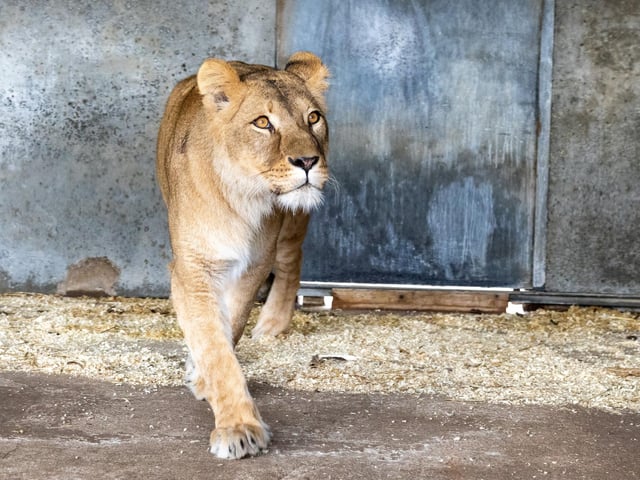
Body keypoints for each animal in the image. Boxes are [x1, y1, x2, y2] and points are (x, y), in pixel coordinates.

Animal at [156, 51, 330, 459]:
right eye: (263, 123)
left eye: (313, 117)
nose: (307, 162)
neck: (242, 198)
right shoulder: (192, 269)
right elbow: (214, 343)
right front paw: (238, 428)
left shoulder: (254, 263)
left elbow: (230, 327)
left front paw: (211, 389)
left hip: (291, 225)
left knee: (292, 260)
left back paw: (271, 325)